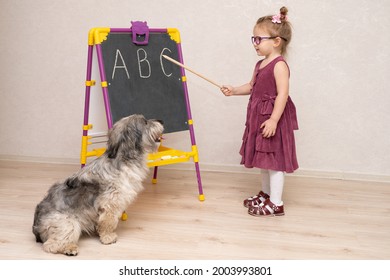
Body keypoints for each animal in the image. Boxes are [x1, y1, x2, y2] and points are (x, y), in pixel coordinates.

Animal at [31, 114, 163, 256]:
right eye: (145, 122)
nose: (161, 120)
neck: (124, 158)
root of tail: (36, 226)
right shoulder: (110, 203)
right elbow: (108, 222)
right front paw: (108, 237)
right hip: (68, 223)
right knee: (51, 245)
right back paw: (70, 248)